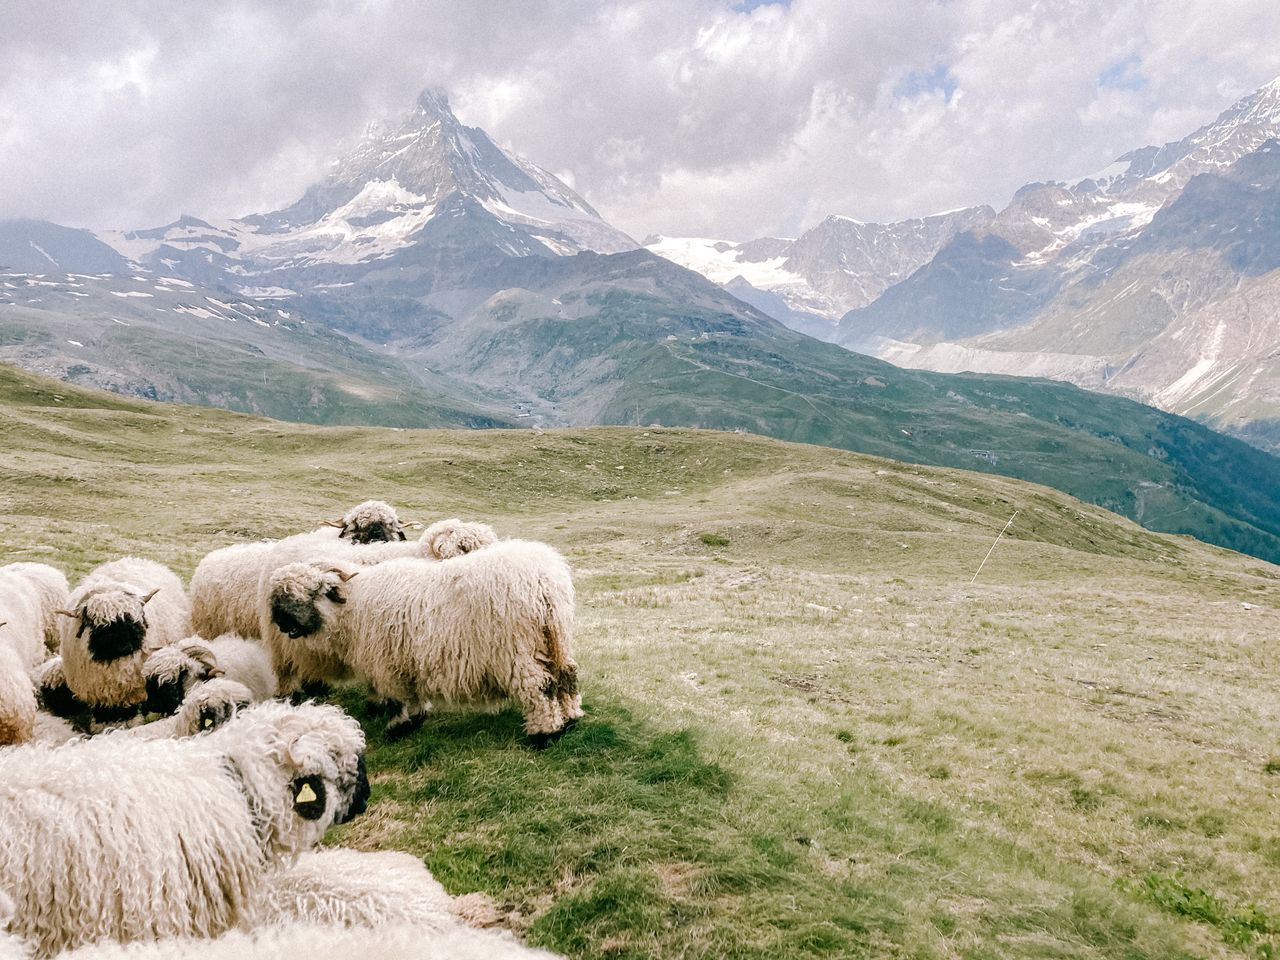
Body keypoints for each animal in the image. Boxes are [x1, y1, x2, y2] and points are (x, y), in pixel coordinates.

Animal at [52, 555, 190, 727]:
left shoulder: (135, 689)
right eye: (96, 624)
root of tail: (137, 559)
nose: (125, 646)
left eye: (133, 621)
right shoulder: (98, 691)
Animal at [266, 542, 586, 742]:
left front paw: (399, 727)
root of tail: (543, 581)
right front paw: (414, 719)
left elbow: (399, 698)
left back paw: (543, 733)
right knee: (567, 676)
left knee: (540, 688)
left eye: (308, 593)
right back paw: (571, 719)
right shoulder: (403, 661)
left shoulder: (388, 663)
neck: (353, 606)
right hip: (556, 640)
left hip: (516, 649)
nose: (280, 623)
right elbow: (411, 695)